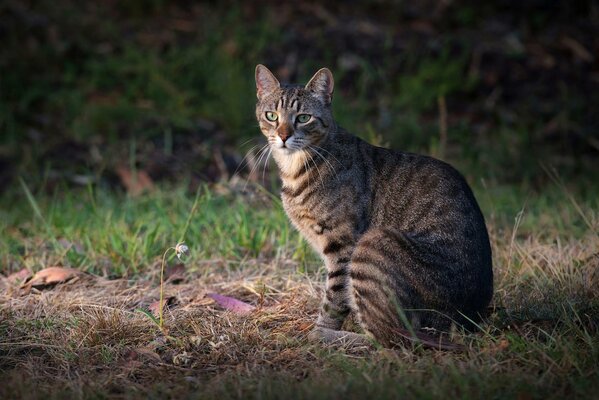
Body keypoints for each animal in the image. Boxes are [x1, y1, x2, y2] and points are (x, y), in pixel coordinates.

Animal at [253, 64, 492, 346]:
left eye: (303, 118)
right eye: (271, 116)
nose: (283, 136)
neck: (296, 168)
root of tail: (470, 318)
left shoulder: (342, 246)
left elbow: (334, 299)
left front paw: (321, 329)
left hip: (373, 243)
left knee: (387, 338)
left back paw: (332, 337)